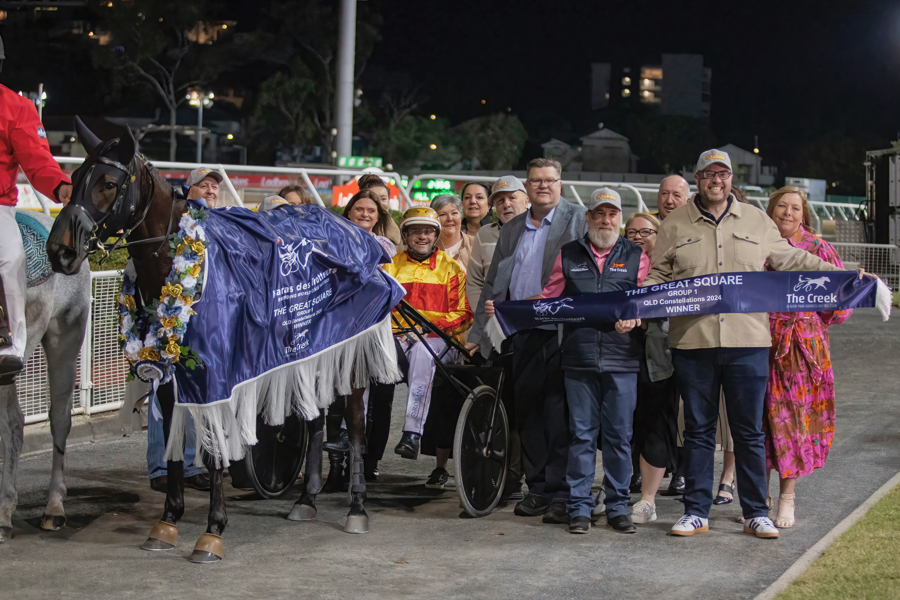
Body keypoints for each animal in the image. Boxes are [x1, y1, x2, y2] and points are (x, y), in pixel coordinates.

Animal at [46, 117, 373, 563]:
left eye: (109, 183)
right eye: (74, 177)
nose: (59, 250)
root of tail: (349, 226)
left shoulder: (219, 372)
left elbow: (217, 444)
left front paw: (212, 530)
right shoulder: (166, 368)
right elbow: (172, 437)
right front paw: (168, 520)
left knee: (355, 422)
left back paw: (356, 505)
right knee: (315, 416)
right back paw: (305, 499)